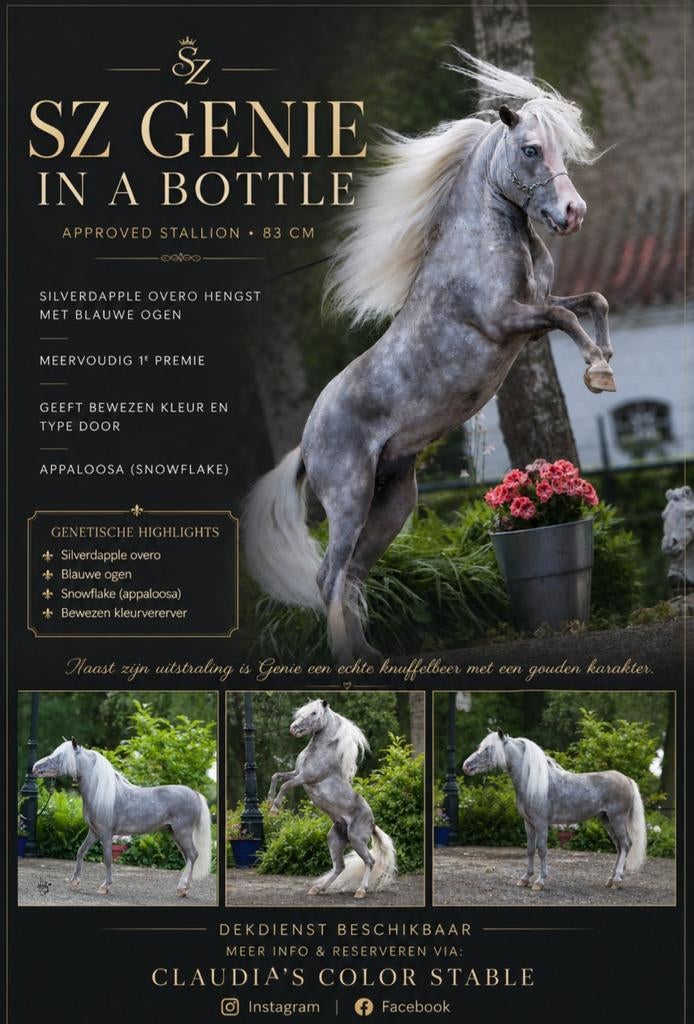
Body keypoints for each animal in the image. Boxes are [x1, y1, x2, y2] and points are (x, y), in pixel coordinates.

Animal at [32, 737, 212, 897]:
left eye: (60, 756)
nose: (35, 767)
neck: (100, 793)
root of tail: (195, 794)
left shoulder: (106, 834)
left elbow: (107, 858)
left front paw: (105, 886)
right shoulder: (94, 832)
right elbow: (81, 851)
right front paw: (74, 881)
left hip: (182, 832)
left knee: (193, 855)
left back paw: (182, 888)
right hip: (174, 833)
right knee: (189, 857)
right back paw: (185, 888)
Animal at [244, 50, 615, 664]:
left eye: (561, 148)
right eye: (530, 149)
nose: (574, 213)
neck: (482, 242)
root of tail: (305, 443)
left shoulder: (532, 318)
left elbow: (590, 302)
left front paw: (604, 356)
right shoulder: (507, 320)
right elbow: (568, 319)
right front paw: (597, 370)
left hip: (392, 502)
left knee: (353, 575)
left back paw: (370, 655)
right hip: (349, 500)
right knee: (329, 576)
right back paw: (346, 659)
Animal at [266, 699, 397, 898]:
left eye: (314, 713)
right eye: (302, 712)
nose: (293, 728)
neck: (319, 752)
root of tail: (373, 822)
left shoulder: (305, 777)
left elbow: (285, 785)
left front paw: (274, 810)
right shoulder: (297, 773)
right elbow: (276, 776)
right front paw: (268, 800)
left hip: (357, 840)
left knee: (370, 861)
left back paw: (361, 891)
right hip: (335, 840)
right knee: (340, 866)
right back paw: (317, 889)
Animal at [462, 729, 646, 890]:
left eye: (489, 748)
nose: (466, 766)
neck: (532, 782)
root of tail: (627, 779)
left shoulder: (541, 823)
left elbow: (542, 849)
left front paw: (539, 881)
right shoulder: (528, 823)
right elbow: (530, 849)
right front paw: (525, 878)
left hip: (617, 819)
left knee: (626, 844)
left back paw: (617, 880)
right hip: (606, 820)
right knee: (619, 846)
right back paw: (611, 879)